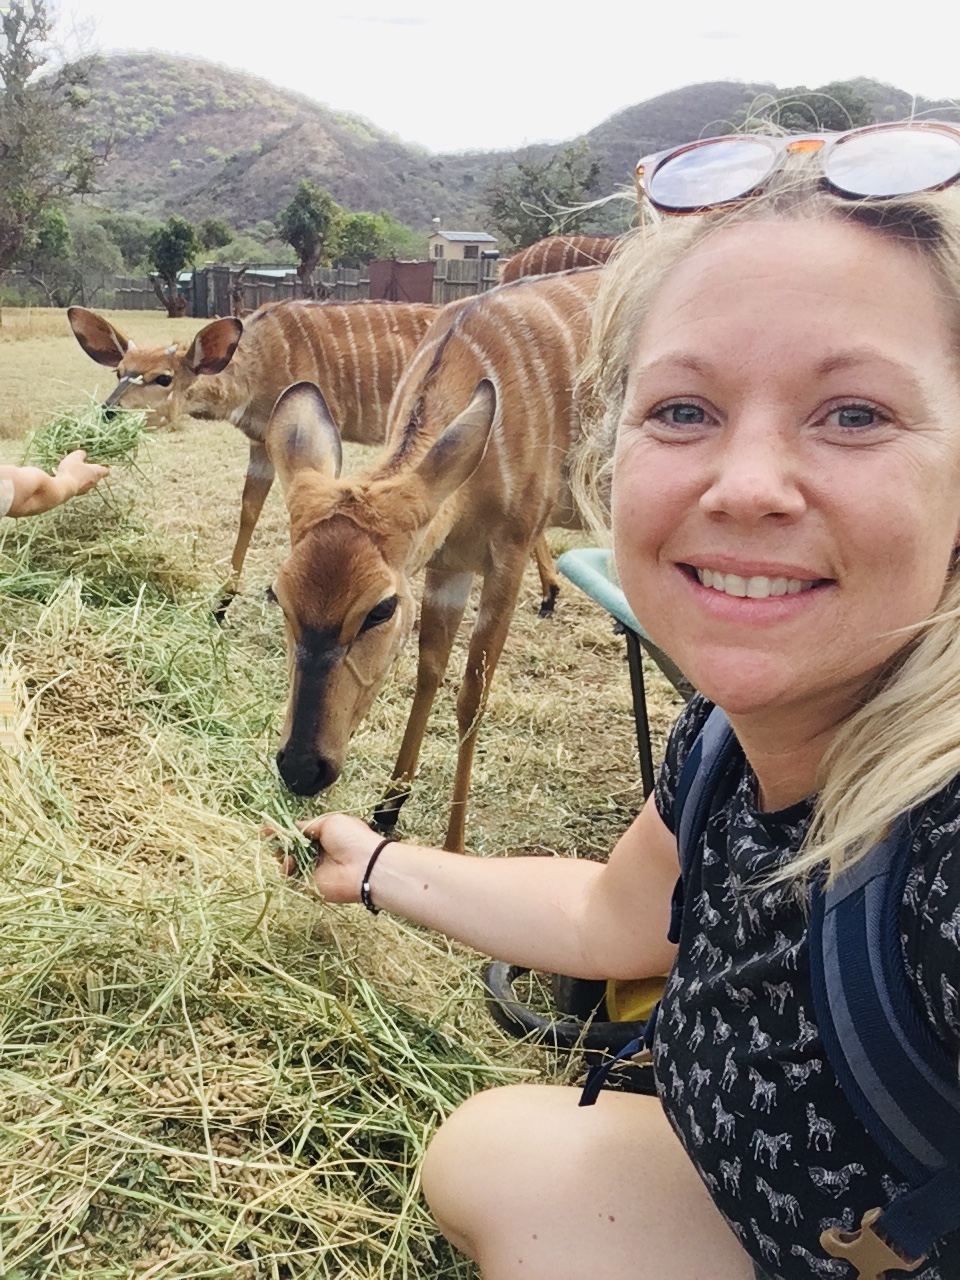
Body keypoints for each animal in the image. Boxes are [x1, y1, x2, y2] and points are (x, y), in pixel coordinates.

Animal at [67, 298, 439, 604]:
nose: (108, 411)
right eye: (119, 371)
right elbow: (249, 509)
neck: (259, 364)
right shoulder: (261, 444)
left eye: (163, 378)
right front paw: (224, 600)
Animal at [265, 267, 602, 851]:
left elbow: (472, 694)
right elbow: (429, 670)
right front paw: (386, 809)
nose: (303, 768)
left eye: (380, 608)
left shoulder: (508, 553)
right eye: (278, 596)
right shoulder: (449, 565)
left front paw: (454, 846)